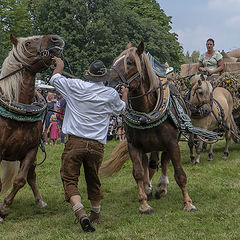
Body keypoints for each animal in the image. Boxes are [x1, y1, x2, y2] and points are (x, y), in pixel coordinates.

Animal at [0, 32, 64, 222]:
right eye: (28, 43)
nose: (56, 39)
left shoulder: (31, 150)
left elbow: (20, 179)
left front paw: (4, 208)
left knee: (31, 176)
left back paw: (40, 201)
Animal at [100, 42, 196, 214]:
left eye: (130, 62)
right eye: (115, 61)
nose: (108, 84)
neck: (145, 111)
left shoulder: (172, 143)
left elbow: (179, 174)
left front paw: (188, 203)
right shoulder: (134, 145)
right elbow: (138, 172)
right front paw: (144, 203)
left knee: (163, 161)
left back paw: (162, 186)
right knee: (149, 164)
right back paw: (148, 188)